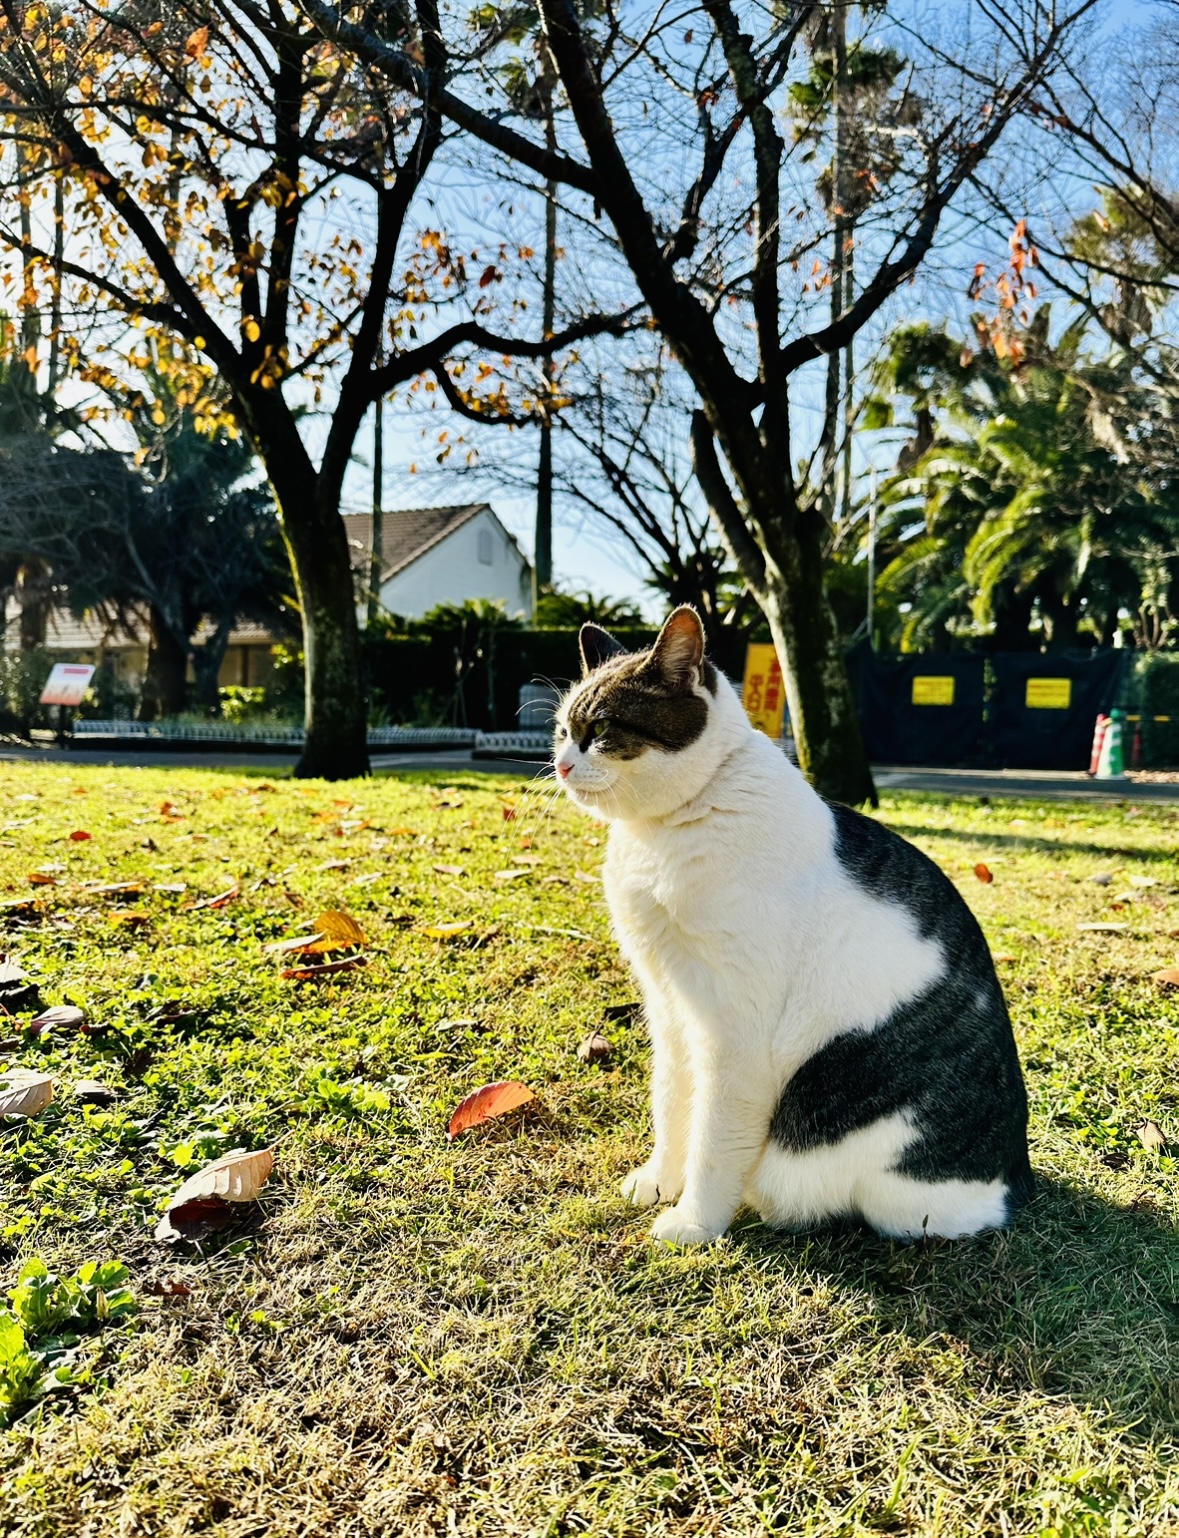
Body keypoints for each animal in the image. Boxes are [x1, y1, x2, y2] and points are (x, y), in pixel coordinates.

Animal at [553, 605, 1032, 1242]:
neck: (673, 826)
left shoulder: (736, 1033)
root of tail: (1017, 1179)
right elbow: (672, 1101)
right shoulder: (670, 1004)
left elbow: (713, 1140)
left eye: (602, 729)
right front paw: (658, 1183)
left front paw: (695, 1224)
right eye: (563, 729)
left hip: (884, 1190)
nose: (561, 763)